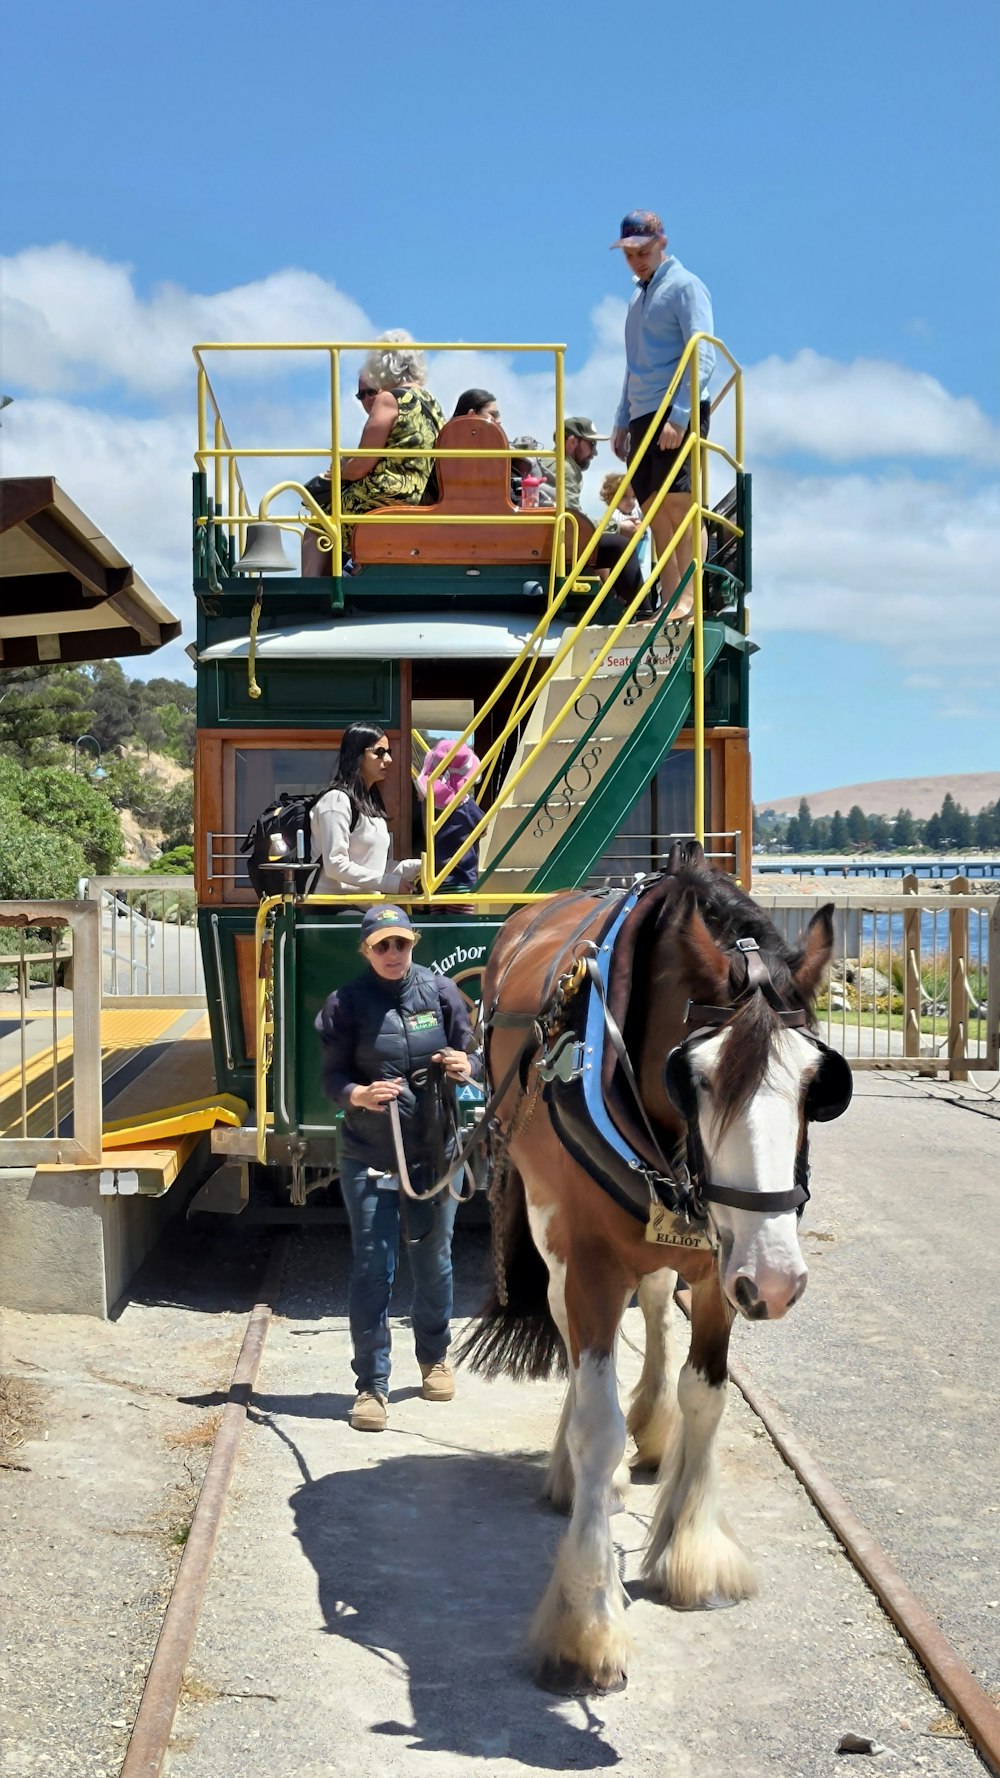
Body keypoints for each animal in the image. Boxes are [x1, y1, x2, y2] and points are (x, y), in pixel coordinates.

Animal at [459, 846, 846, 1692]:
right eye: (693, 1077)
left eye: (818, 1083)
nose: (777, 1282)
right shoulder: (588, 1259)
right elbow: (597, 1424)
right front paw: (586, 1620)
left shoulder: (722, 1261)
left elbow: (706, 1395)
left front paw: (690, 1551)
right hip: (548, 1224)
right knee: (572, 1336)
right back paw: (575, 1472)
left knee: (659, 1308)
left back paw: (652, 1426)